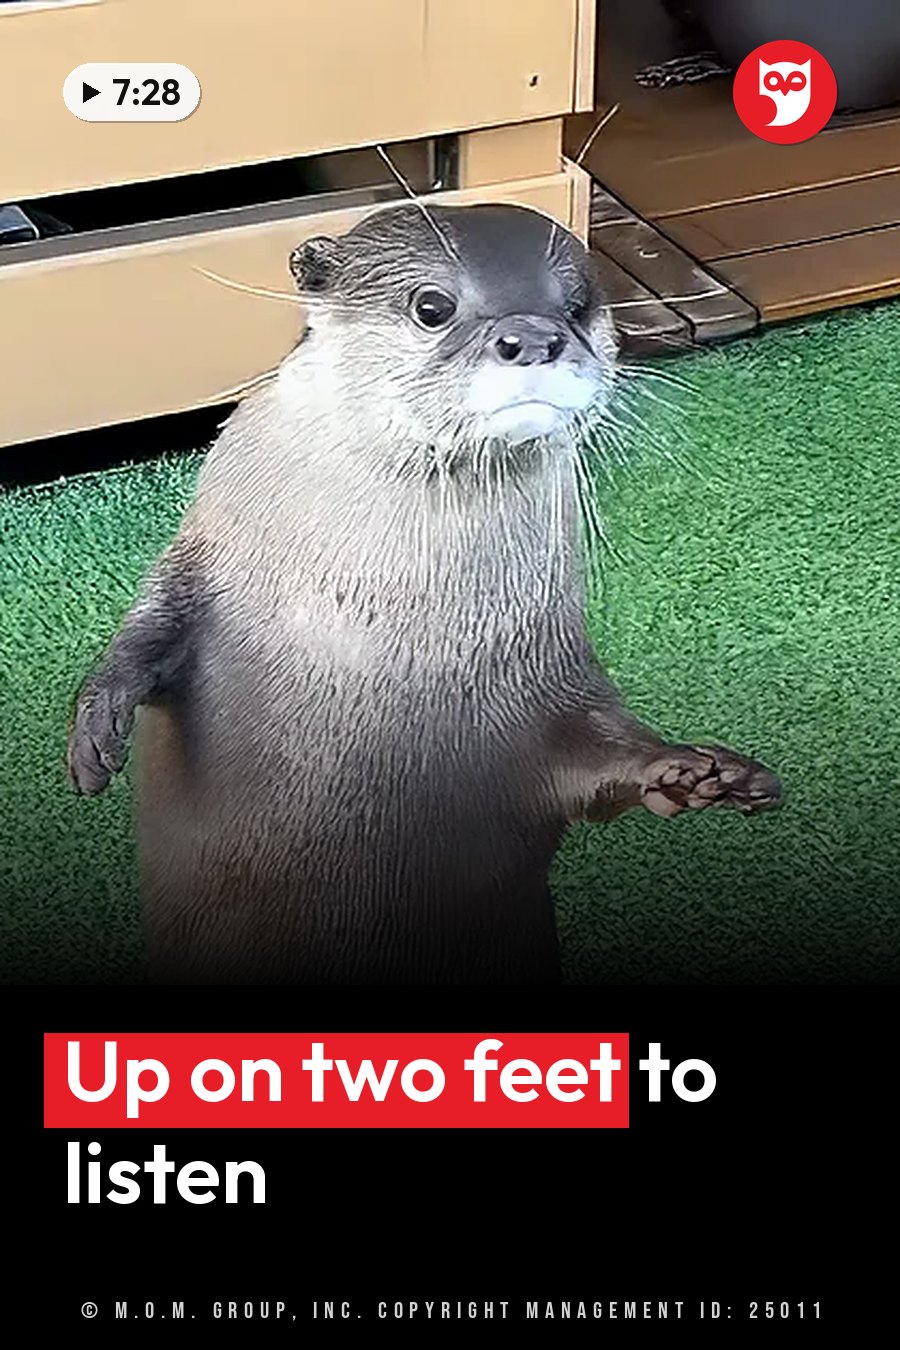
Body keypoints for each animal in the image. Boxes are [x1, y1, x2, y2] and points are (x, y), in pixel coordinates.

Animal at [68, 202, 780, 985]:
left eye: (578, 306)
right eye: (432, 306)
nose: (537, 335)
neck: (367, 629)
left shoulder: (551, 671)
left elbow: (599, 746)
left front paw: (699, 773)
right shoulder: (203, 557)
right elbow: (153, 622)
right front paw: (96, 728)